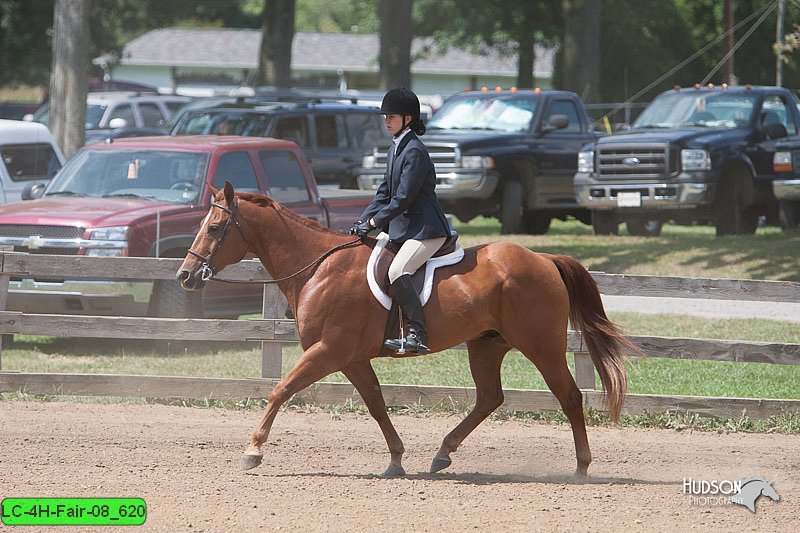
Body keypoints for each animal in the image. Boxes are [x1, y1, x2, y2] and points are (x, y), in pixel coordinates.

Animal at [177, 184, 632, 478]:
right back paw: (442, 455)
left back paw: (581, 467)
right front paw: (396, 460)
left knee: (569, 396)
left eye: (214, 229)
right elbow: (377, 405)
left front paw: (252, 451)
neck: (318, 267)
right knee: (490, 398)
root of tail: (543, 258)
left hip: (542, 345)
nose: (185, 276)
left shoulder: (328, 350)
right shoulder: (352, 358)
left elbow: (280, 390)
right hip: (486, 345)